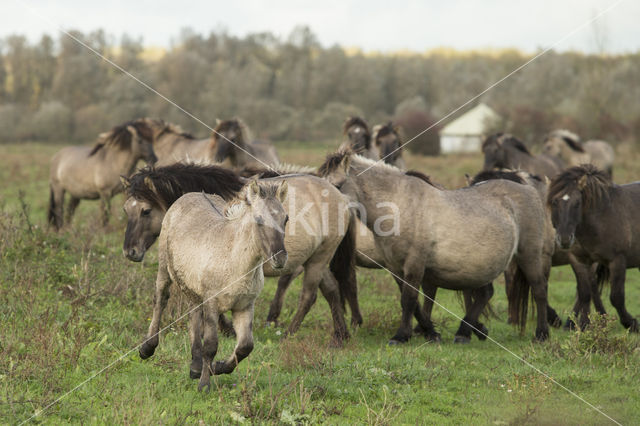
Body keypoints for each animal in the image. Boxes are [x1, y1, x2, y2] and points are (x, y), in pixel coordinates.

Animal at [121, 164, 356, 356]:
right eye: (125, 209)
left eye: (145, 211)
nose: (130, 252)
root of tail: (341, 197)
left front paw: (227, 330)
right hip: (315, 259)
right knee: (331, 290)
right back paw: (340, 337)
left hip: (319, 260)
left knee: (309, 296)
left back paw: (289, 334)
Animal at [141, 181, 290, 392]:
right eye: (259, 219)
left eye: (286, 219)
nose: (280, 258)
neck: (235, 261)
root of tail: (188, 195)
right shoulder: (212, 303)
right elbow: (211, 345)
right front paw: (205, 383)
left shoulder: (244, 306)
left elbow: (245, 346)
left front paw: (216, 368)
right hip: (164, 269)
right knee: (160, 300)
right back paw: (147, 348)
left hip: (193, 289)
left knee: (193, 314)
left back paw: (195, 366)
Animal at [320, 151, 552, 344]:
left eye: (338, 185)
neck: (400, 206)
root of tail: (529, 189)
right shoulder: (395, 267)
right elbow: (413, 303)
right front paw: (430, 333)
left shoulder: (414, 263)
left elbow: (409, 299)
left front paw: (401, 336)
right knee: (485, 293)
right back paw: (464, 332)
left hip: (528, 254)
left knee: (539, 289)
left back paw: (541, 334)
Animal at [468, 170, 608, 330]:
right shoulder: (511, 262)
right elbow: (510, 287)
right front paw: (512, 319)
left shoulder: (543, 257)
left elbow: (542, 286)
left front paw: (552, 319)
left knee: (588, 286)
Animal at [544, 165, 640, 332]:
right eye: (555, 202)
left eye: (577, 203)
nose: (564, 239)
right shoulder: (580, 261)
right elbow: (584, 293)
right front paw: (583, 325)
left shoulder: (617, 260)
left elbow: (616, 297)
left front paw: (630, 323)